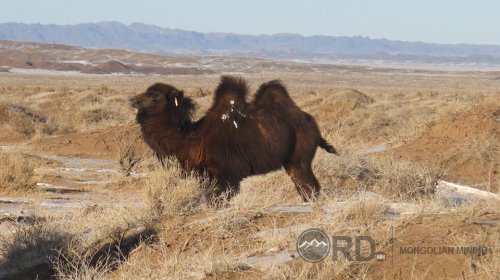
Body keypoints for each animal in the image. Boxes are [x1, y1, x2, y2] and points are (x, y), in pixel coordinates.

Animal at [131, 76, 338, 201]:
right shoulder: (207, 175)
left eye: (154, 95)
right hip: (291, 161)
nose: (132, 99)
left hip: (299, 157)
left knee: (308, 183)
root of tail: (310, 121)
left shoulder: (225, 176)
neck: (192, 139)